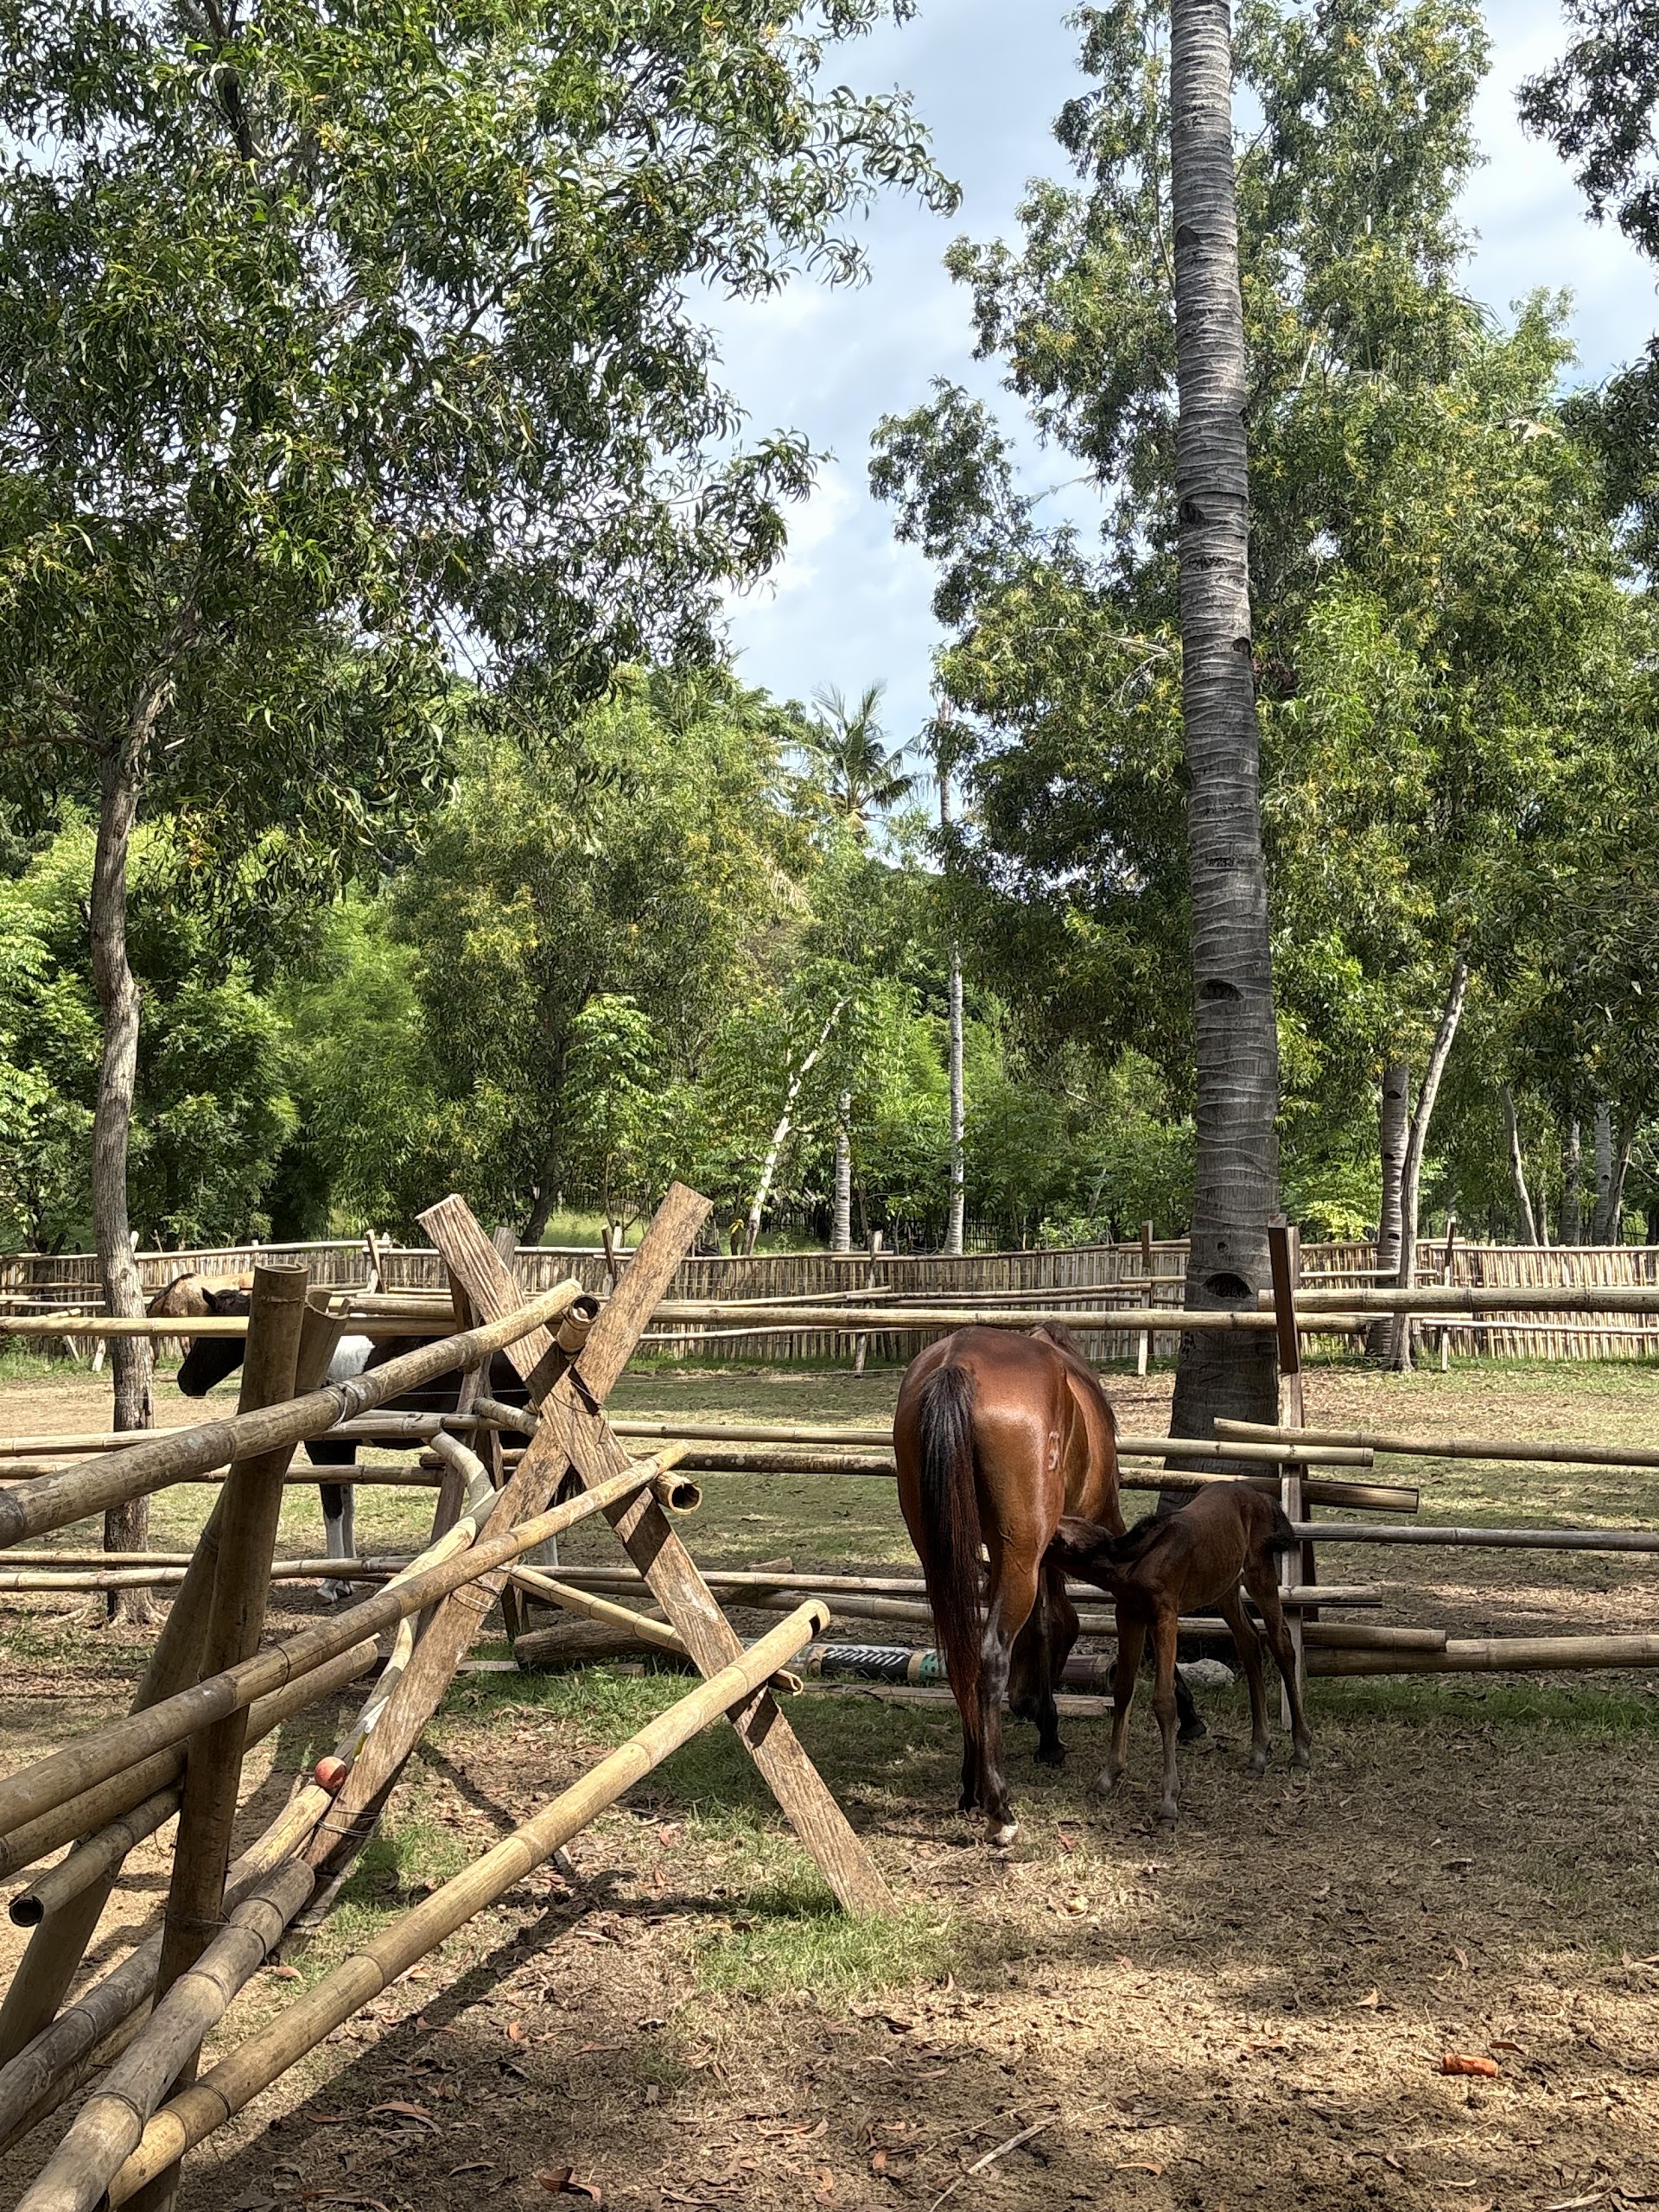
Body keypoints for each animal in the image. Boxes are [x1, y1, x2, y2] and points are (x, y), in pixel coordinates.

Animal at [174, 1287, 532, 1601]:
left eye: (209, 1334)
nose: (185, 1381)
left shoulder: (326, 1451)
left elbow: (332, 1510)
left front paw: (330, 1584)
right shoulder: (345, 1450)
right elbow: (348, 1509)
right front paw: (346, 1579)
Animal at [892, 1322, 1202, 1846]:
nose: (1022, 1702)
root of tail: (958, 1363)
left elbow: (1043, 1623)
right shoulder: (1103, 1527)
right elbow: (1077, 1617)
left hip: (947, 1553)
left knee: (961, 1654)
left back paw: (972, 1784)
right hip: (1020, 1552)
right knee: (989, 1656)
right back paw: (999, 1807)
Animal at [1051, 1484, 1312, 1824]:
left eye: (1054, 1536)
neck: (1138, 1560)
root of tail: (1260, 1495)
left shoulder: (1165, 1616)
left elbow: (1164, 1700)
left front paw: (1169, 1800)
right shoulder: (1129, 1615)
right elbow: (1122, 1689)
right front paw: (1108, 1775)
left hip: (1259, 1571)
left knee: (1281, 1643)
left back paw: (1301, 1750)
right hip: (1224, 1586)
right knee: (1249, 1641)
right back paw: (1258, 1753)